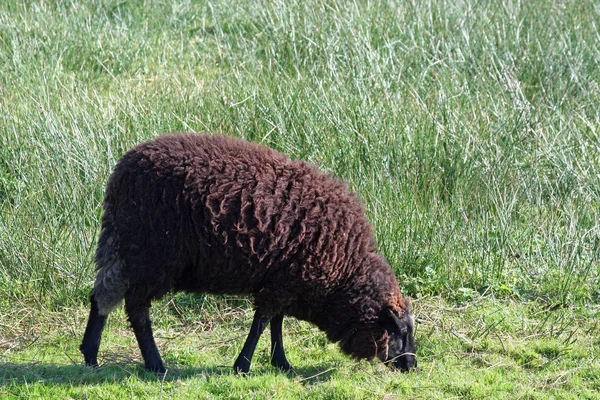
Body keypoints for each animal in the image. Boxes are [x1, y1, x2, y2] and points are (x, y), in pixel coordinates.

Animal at [79, 133, 418, 374]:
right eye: (400, 330)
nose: (412, 365)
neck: (345, 271)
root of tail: (121, 173)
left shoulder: (284, 277)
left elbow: (276, 321)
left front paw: (281, 362)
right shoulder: (283, 282)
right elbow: (263, 321)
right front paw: (243, 365)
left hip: (122, 245)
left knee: (102, 294)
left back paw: (91, 355)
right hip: (151, 256)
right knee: (136, 309)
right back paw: (155, 365)